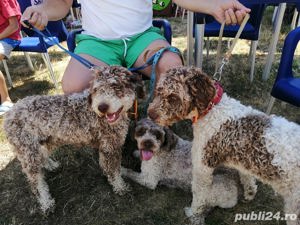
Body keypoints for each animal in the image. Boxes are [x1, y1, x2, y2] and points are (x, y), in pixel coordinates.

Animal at [3, 66, 142, 214]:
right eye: (96, 89)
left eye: (116, 86)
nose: (101, 107)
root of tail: (9, 114)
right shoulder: (110, 147)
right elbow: (113, 171)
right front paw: (120, 186)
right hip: (28, 150)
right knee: (36, 182)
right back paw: (46, 202)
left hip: (44, 140)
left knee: (43, 157)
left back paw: (50, 165)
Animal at [148, 66, 300, 225]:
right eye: (159, 90)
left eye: (173, 97)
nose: (150, 114)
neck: (211, 110)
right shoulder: (242, 160)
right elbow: (247, 177)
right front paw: (250, 192)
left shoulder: (202, 168)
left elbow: (199, 195)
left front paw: (193, 213)